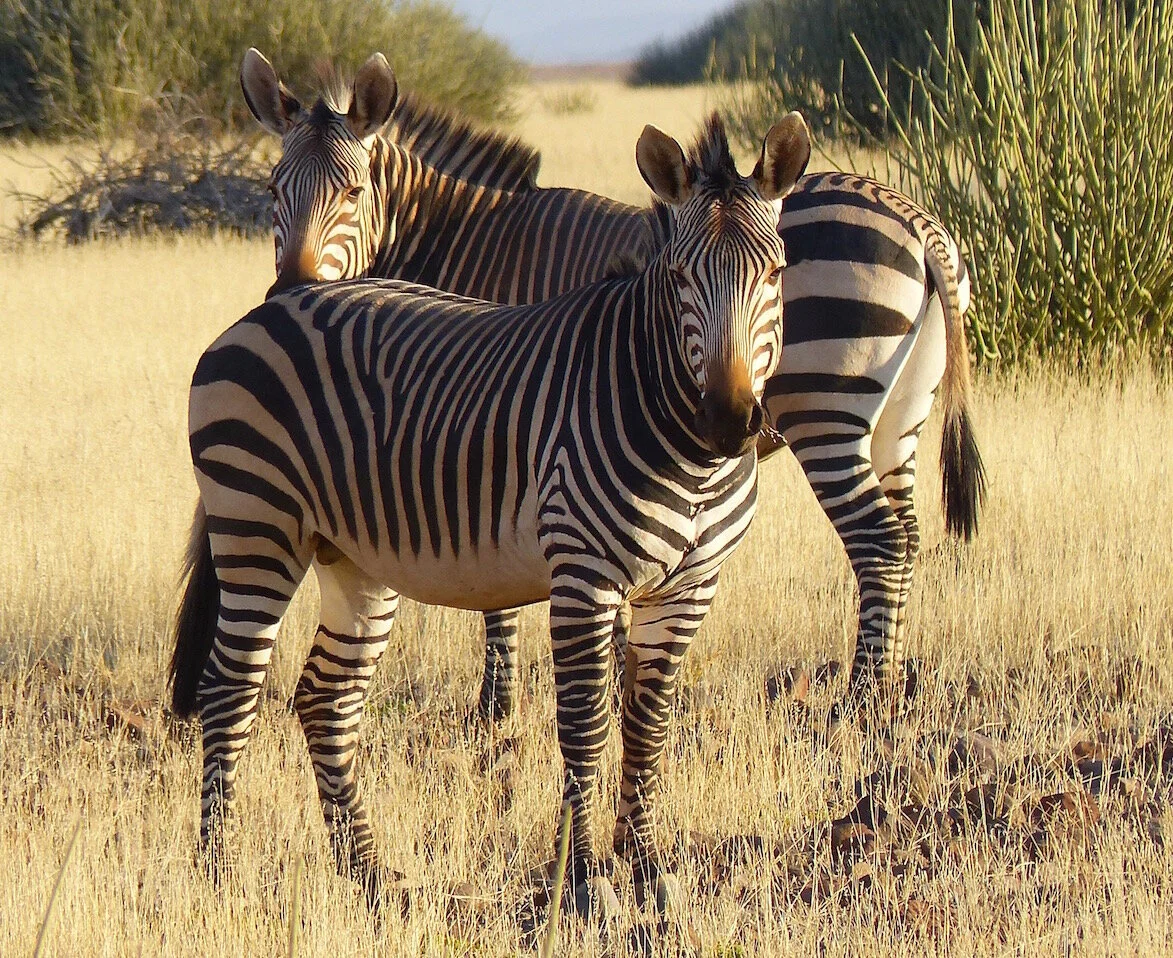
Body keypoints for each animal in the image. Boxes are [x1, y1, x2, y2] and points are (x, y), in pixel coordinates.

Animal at [169, 112, 812, 913]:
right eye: (679, 278)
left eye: (776, 274)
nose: (728, 421)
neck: (684, 446)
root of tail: (269, 307)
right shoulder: (584, 577)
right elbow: (585, 727)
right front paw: (584, 884)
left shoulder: (690, 587)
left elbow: (648, 726)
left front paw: (647, 871)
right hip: (257, 527)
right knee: (229, 691)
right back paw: (216, 871)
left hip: (353, 555)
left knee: (325, 699)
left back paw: (367, 873)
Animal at [240, 48, 986, 715]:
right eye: (273, 191)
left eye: (352, 192)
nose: (294, 290)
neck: (460, 239)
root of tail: (915, 219)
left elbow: (500, 599)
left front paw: (497, 707)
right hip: (898, 418)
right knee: (908, 537)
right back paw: (893, 682)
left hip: (826, 412)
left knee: (877, 540)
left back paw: (862, 697)